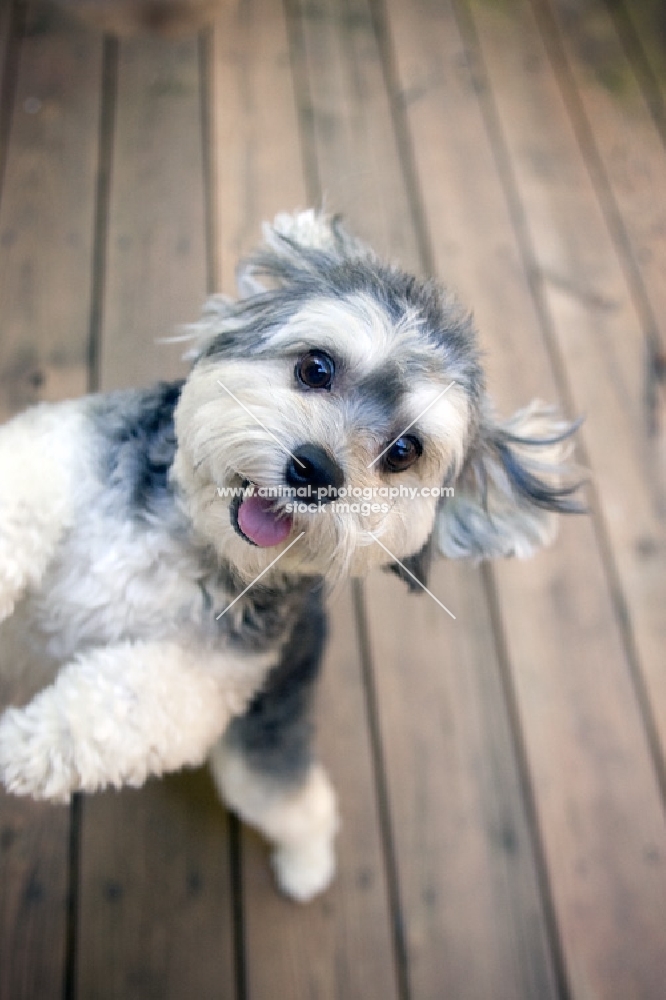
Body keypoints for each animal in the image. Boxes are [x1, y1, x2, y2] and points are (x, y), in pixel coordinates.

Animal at [0, 209, 580, 900]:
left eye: (404, 451)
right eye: (316, 368)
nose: (315, 471)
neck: (188, 537)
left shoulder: (206, 673)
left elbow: (121, 705)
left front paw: (21, 746)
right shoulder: (56, 455)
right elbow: (23, 498)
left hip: (260, 747)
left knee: (303, 806)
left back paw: (307, 868)